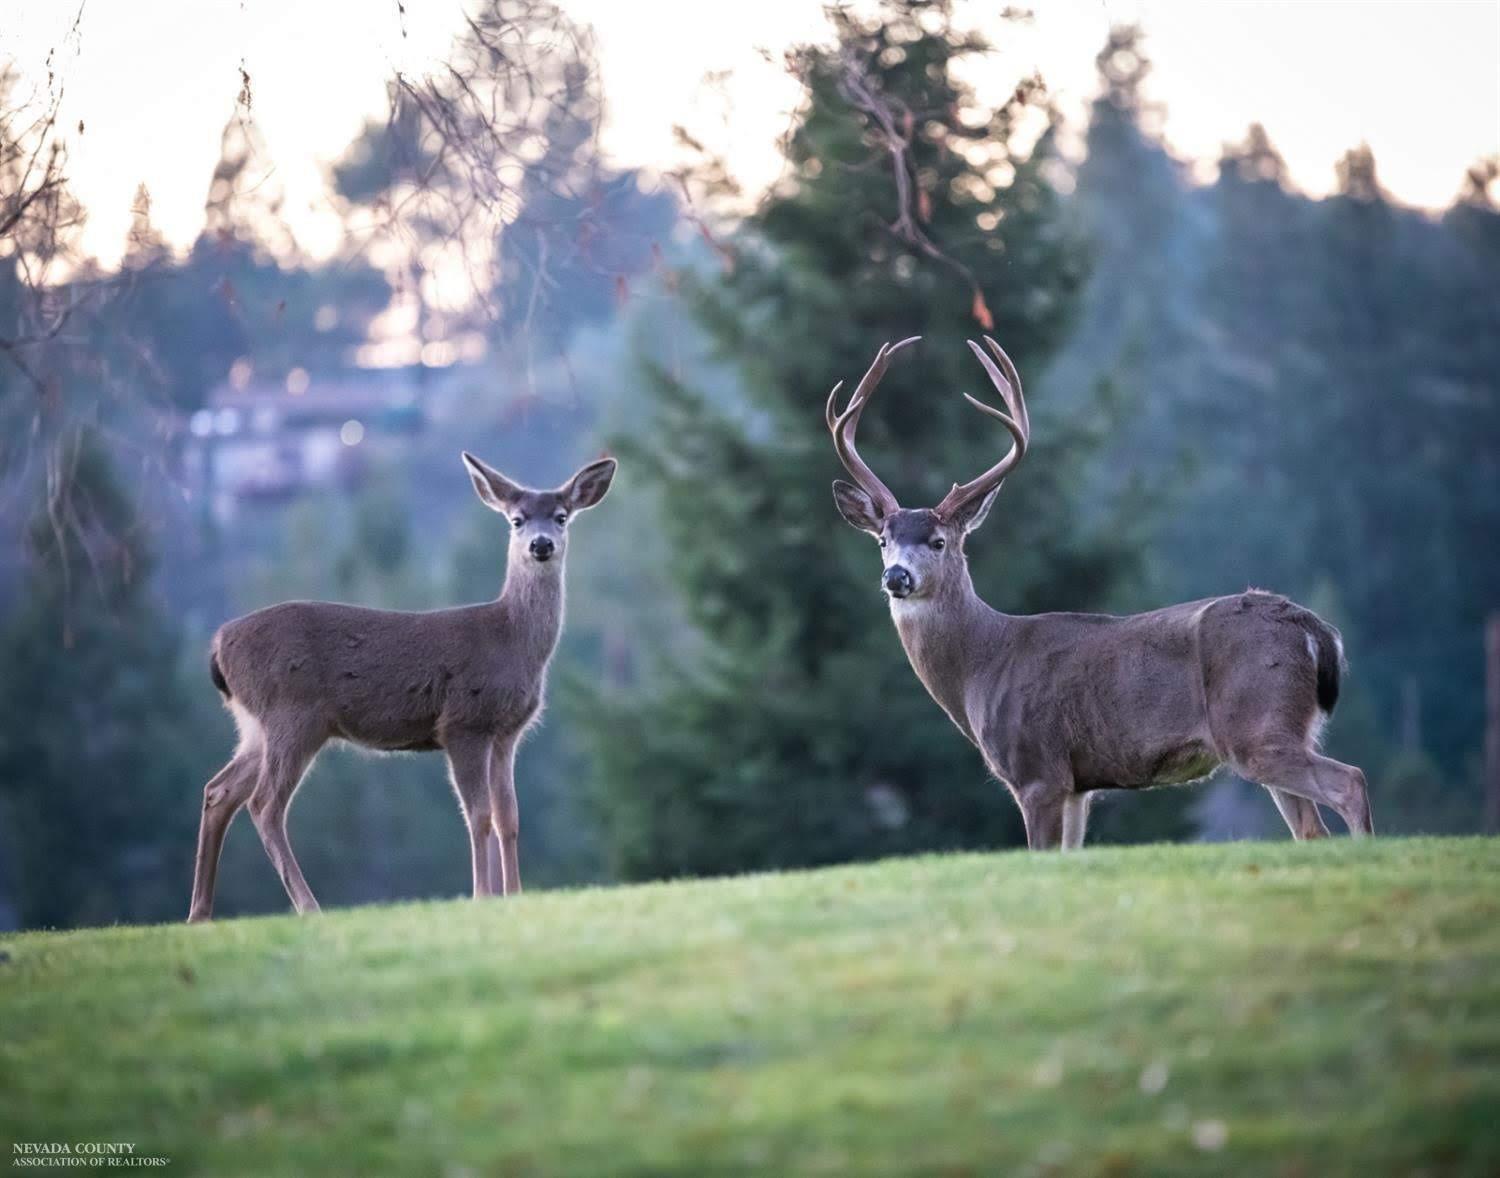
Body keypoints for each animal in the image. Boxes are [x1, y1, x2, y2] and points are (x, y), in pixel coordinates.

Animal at [187, 450, 615, 918]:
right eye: (516, 520)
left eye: (561, 517)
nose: (541, 545)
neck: (511, 640)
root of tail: (218, 647)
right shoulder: (463, 722)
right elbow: (479, 814)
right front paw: (482, 896)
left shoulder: (506, 733)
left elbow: (509, 816)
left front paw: (515, 895)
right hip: (292, 714)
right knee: (264, 804)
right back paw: (308, 906)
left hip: (257, 726)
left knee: (218, 790)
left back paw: (199, 914)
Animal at [828, 337, 1374, 846]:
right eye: (883, 540)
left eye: (939, 542)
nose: (897, 577)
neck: (983, 665)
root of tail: (1314, 629)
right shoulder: (1078, 787)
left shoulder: (1038, 770)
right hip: (1272, 729)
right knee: (1311, 830)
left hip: (1256, 721)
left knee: (1351, 780)